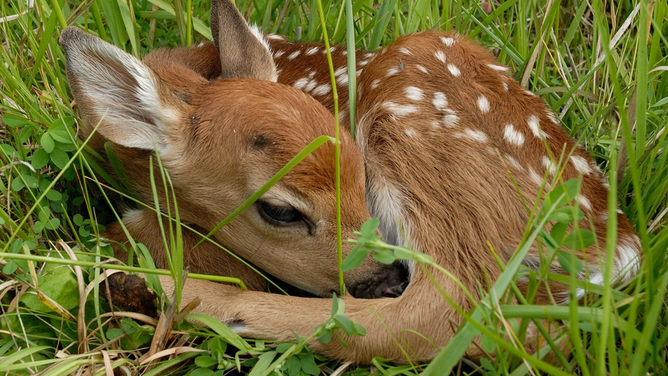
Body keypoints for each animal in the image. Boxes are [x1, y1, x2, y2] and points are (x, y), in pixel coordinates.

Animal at [61, 0, 640, 366]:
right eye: (279, 210)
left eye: (359, 171)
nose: (382, 275)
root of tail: (617, 247)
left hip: (415, 116)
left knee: (442, 310)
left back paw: (147, 289)